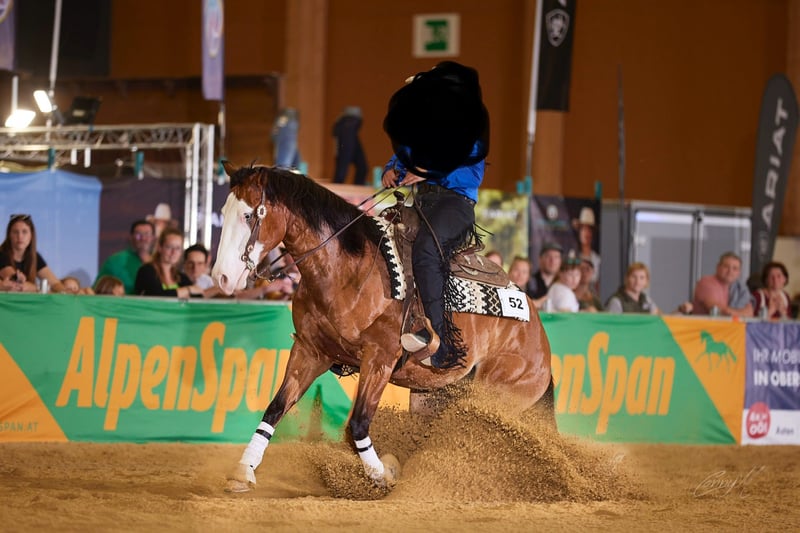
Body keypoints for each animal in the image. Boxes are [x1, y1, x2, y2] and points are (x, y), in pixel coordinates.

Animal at [211, 162, 553, 491]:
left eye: (248, 214)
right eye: (224, 211)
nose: (221, 278)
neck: (346, 270)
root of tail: (540, 340)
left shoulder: (380, 358)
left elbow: (359, 422)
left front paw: (381, 475)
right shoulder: (310, 351)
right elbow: (275, 408)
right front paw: (244, 471)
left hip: (494, 395)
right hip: (431, 397)